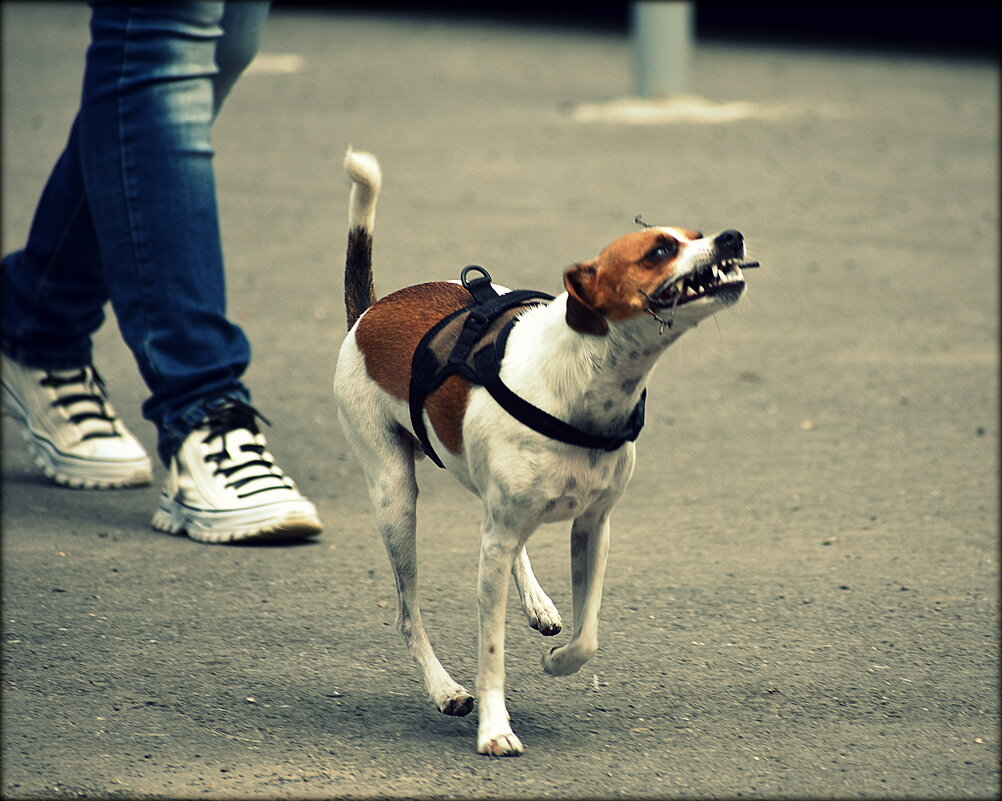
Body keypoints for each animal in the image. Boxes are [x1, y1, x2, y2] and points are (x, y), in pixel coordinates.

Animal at [332, 150, 753, 757]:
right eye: (658, 251)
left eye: (696, 235)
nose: (732, 237)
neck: (583, 383)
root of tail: (370, 311)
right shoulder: (496, 542)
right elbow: (490, 653)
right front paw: (494, 728)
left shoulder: (594, 527)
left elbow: (588, 634)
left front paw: (558, 661)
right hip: (395, 498)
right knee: (409, 614)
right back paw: (443, 689)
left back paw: (536, 603)